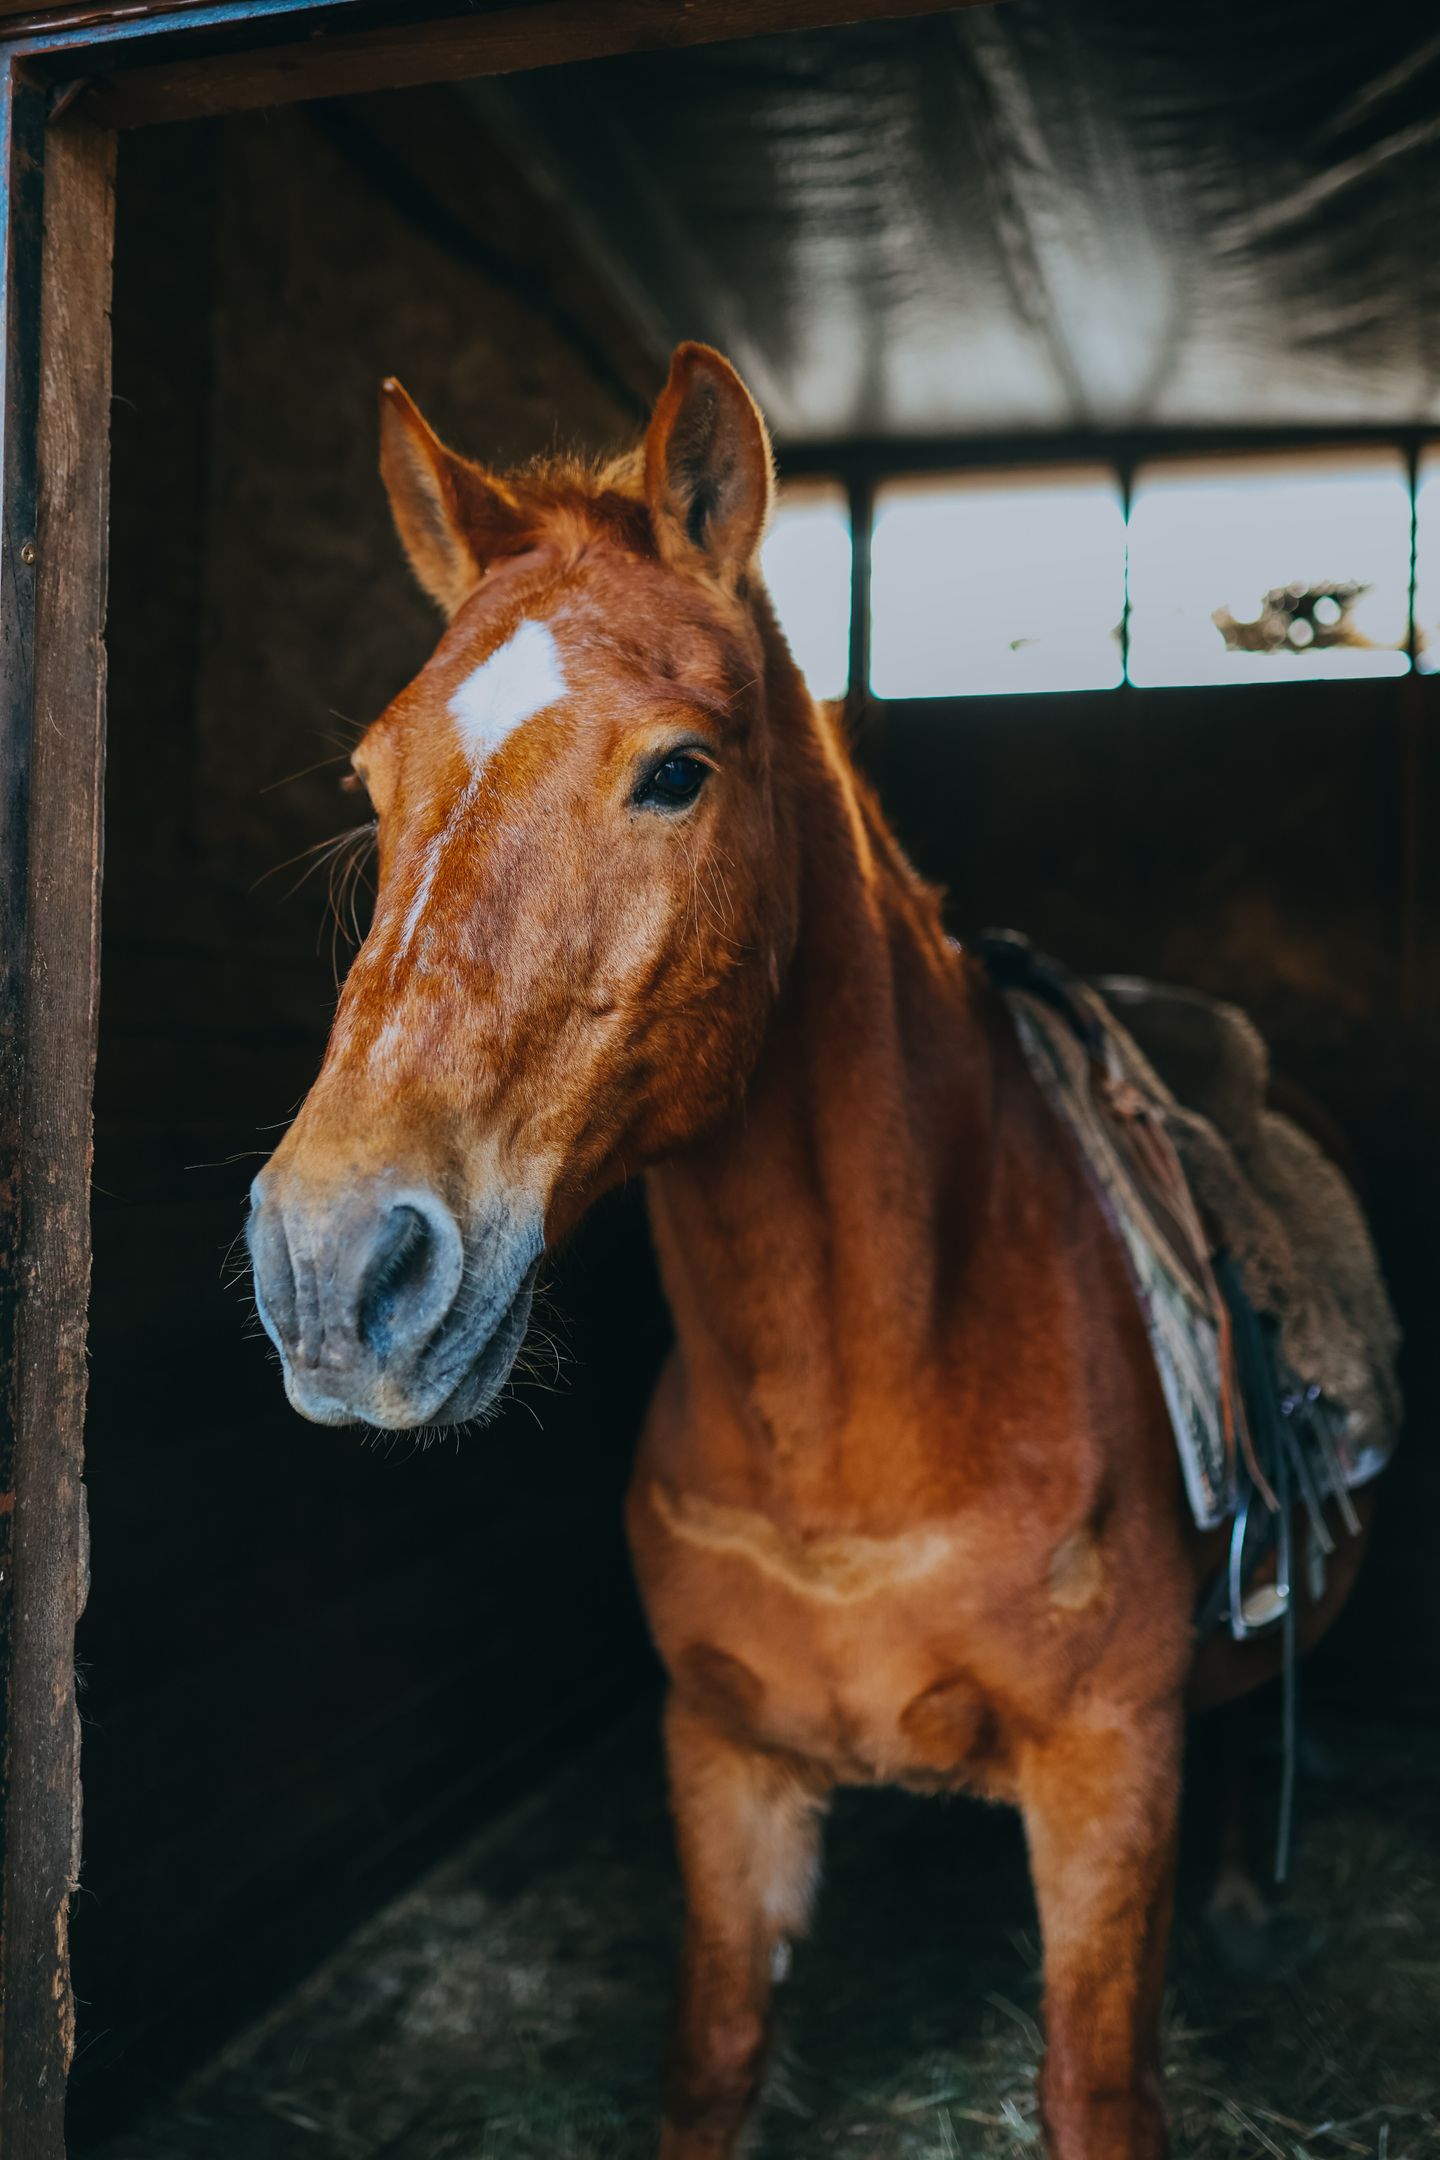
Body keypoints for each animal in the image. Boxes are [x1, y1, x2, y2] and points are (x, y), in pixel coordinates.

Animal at [247, 344, 1388, 2160]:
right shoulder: (724, 1763)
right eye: (371, 780)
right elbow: (712, 2057)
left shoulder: (1108, 1778)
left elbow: (1097, 2085)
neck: (857, 1412)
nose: (332, 1270)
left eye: (678, 770)